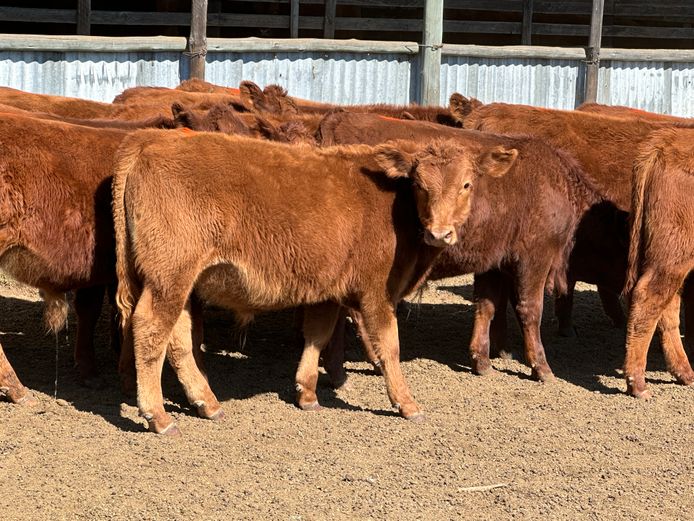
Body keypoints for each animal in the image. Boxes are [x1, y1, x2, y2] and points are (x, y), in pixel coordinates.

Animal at [111, 131, 520, 434]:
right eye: (420, 185)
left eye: (467, 184)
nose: (439, 232)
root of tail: (149, 141)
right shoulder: (376, 292)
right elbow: (389, 345)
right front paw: (406, 403)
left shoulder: (328, 290)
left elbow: (317, 336)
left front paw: (306, 393)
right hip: (169, 276)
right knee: (151, 329)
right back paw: (158, 416)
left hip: (178, 282)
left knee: (177, 337)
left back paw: (206, 403)